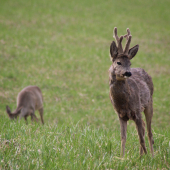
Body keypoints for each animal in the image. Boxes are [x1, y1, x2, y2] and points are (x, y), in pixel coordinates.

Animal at [109, 27, 154, 157]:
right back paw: (140, 156)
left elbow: (141, 138)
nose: (128, 73)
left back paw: (152, 155)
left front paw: (148, 158)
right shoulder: (121, 115)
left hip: (149, 103)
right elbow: (123, 137)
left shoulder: (137, 111)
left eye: (129, 63)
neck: (124, 103)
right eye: (118, 62)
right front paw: (122, 157)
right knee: (144, 127)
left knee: (148, 132)